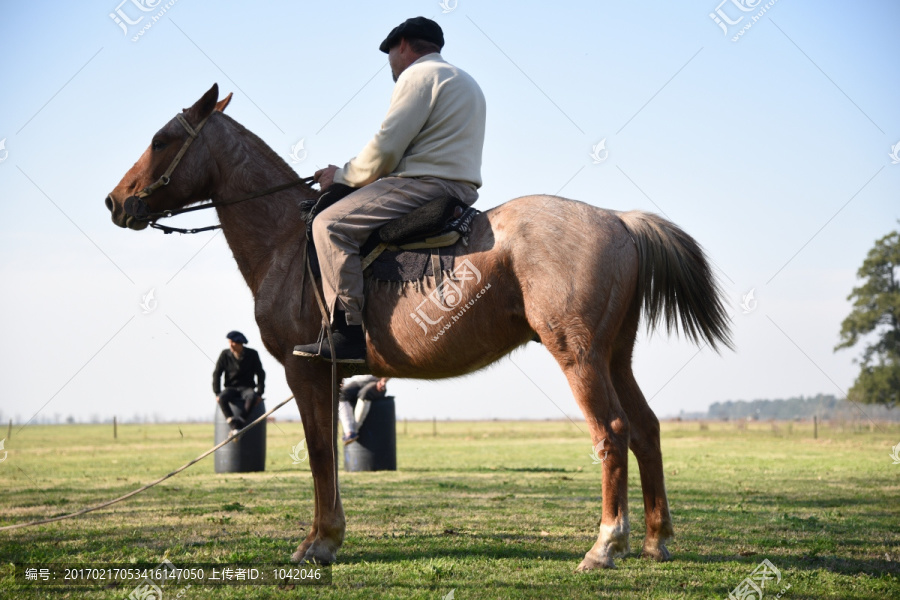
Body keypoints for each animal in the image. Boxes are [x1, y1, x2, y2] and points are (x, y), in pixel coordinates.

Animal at [103, 84, 732, 572]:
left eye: (162, 139)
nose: (115, 201)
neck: (286, 237)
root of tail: (618, 220)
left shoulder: (306, 373)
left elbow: (319, 452)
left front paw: (319, 543)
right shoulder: (332, 378)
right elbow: (329, 455)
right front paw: (327, 536)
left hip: (579, 358)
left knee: (613, 432)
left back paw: (605, 546)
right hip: (614, 357)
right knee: (646, 430)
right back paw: (654, 540)